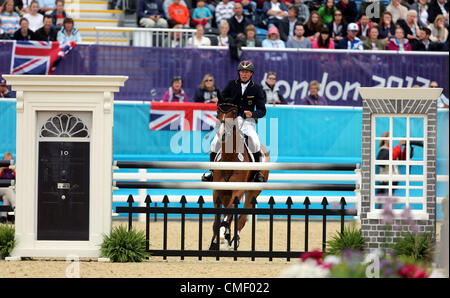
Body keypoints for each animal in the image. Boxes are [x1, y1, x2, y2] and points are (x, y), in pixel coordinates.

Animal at [208, 103, 268, 250]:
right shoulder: (218, 191)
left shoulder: (238, 190)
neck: (229, 158)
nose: (222, 134)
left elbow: (229, 212)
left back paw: (235, 239)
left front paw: (222, 233)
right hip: (227, 194)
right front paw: (215, 241)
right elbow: (219, 216)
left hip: (252, 192)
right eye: (218, 112)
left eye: (234, 113)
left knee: (242, 217)